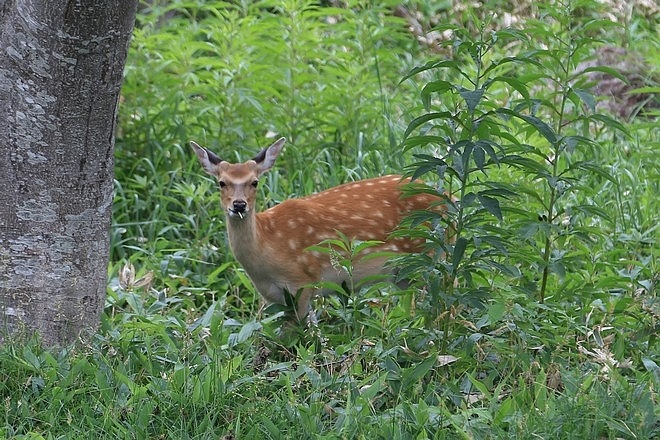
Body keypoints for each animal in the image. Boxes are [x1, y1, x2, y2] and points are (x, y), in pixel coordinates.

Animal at [188, 136, 452, 322]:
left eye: (255, 181)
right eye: (221, 182)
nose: (239, 205)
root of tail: (451, 199)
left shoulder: (303, 281)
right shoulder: (274, 296)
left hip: (430, 256)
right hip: (403, 273)